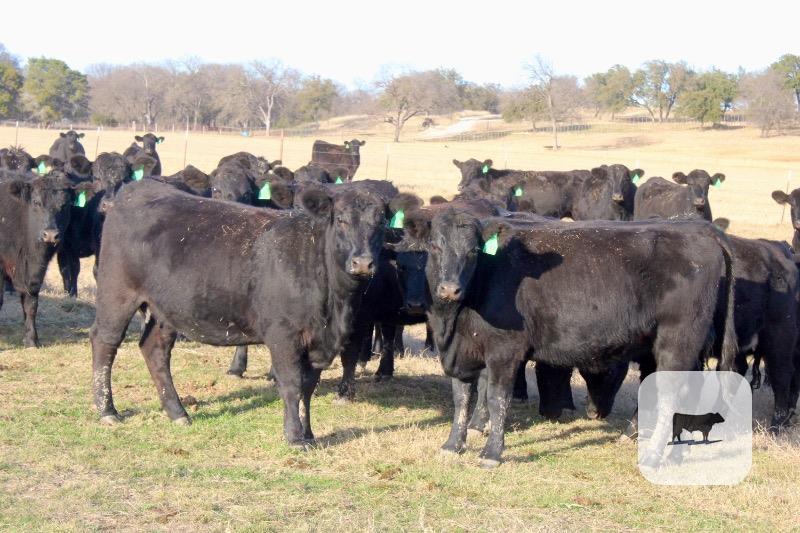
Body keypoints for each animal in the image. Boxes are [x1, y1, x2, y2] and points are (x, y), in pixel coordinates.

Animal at [0, 172, 94, 346]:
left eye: (64, 205)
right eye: (36, 202)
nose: (50, 234)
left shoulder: (37, 271)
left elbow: (31, 304)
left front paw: (31, 339)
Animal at [90, 180, 389, 448]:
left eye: (381, 223)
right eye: (341, 220)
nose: (363, 263)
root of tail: (134, 189)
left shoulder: (318, 341)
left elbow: (307, 388)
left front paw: (309, 434)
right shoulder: (283, 335)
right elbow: (292, 384)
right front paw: (294, 437)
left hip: (164, 310)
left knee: (155, 350)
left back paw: (177, 413)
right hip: (116, 292)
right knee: (105, 342)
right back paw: (108, 411)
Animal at [396, 212, 737, 467]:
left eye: (473, 252)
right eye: (435, 247)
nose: (450, 289)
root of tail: (700, 231)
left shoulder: (505, 351)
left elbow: (496, 399)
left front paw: (491, 453)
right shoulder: (462, 352)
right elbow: (461, 398)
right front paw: (452, 445)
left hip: (678, 341)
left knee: (670, 394)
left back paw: (653, 456)